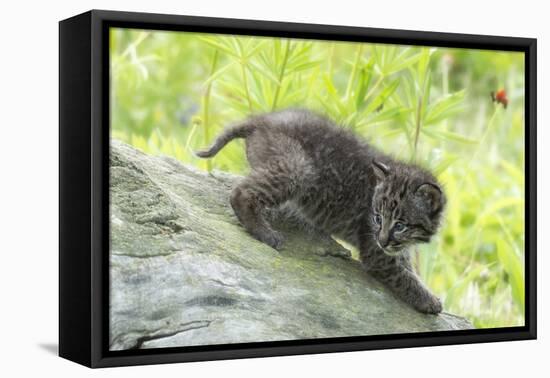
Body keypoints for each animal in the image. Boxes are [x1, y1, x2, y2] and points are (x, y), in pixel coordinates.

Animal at [198, 108, 448, 314]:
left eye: (400, 225)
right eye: (378, 218)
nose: (383, 240)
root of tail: (263, 119)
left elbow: (408, 268)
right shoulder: (377, 255)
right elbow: (405, 278)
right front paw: (430, 301)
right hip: (299, 168)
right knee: (240, 192)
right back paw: (265, 232)